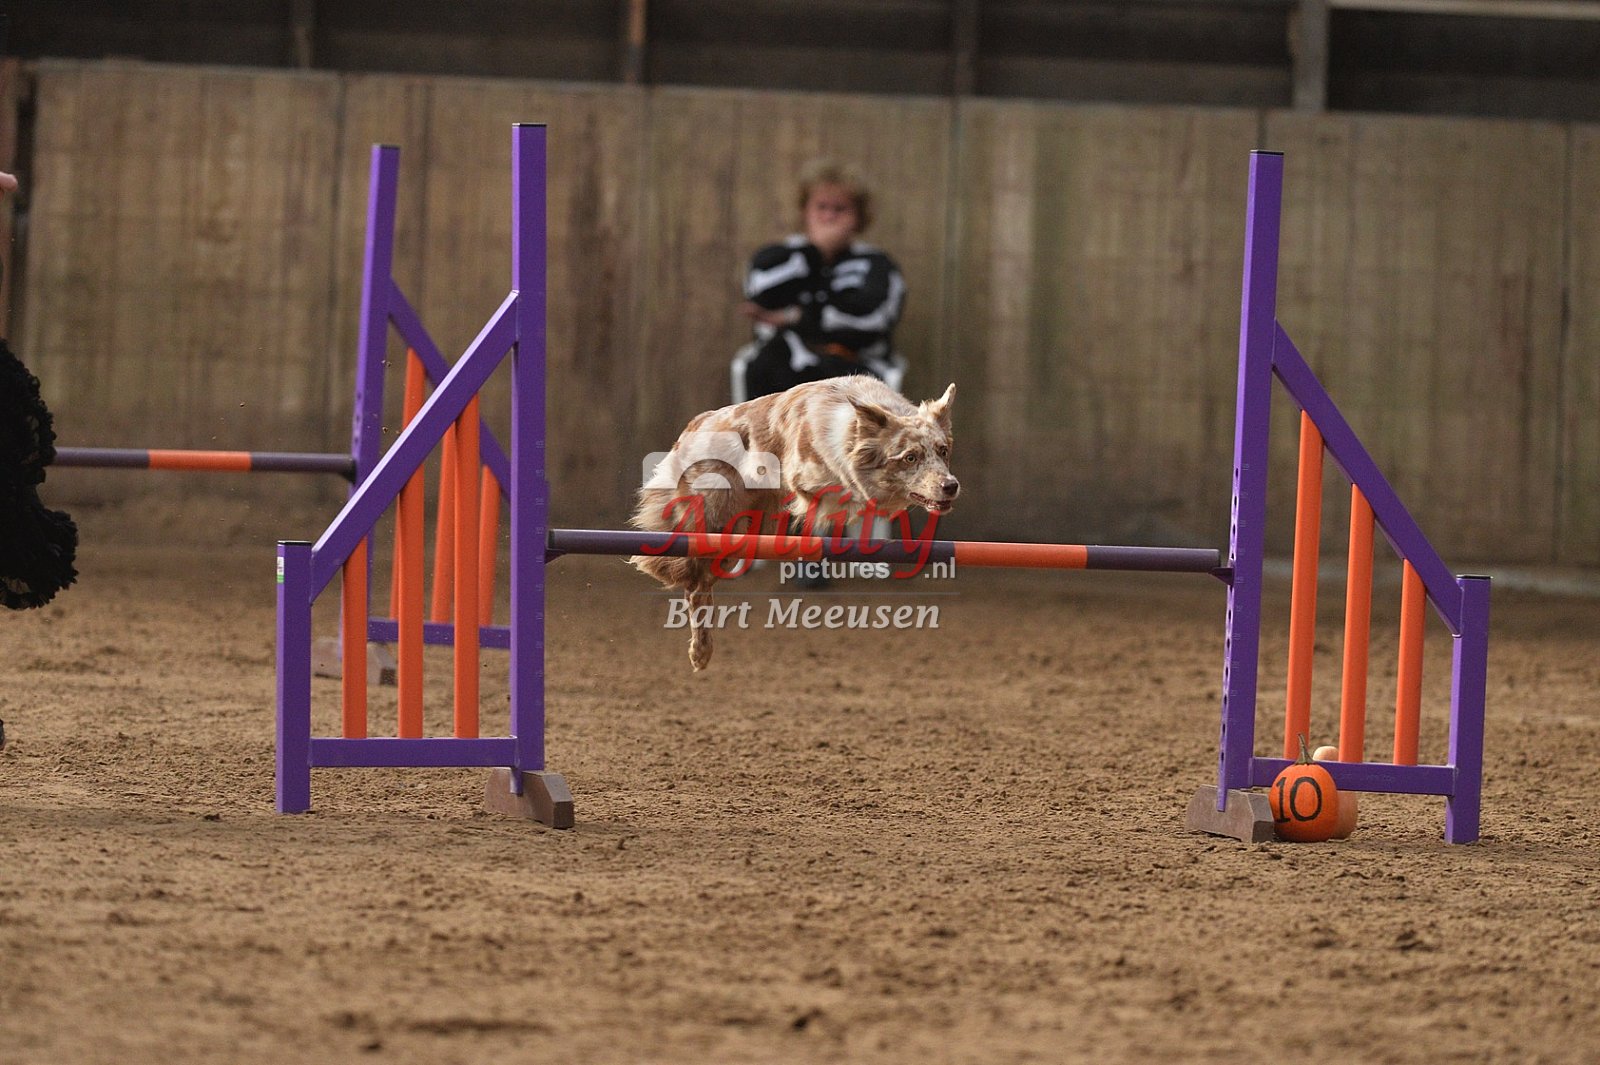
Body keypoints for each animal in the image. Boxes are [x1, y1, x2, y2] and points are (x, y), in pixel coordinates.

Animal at [632, 376, 958, 671]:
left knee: (699, 584)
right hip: (713, 517)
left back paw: (702, 650)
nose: (951, 486)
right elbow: (850, 487)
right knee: (693, 582)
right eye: (910, 457)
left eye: (942, 451)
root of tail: (696, 425)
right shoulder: (806, 477)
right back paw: (699, 650)